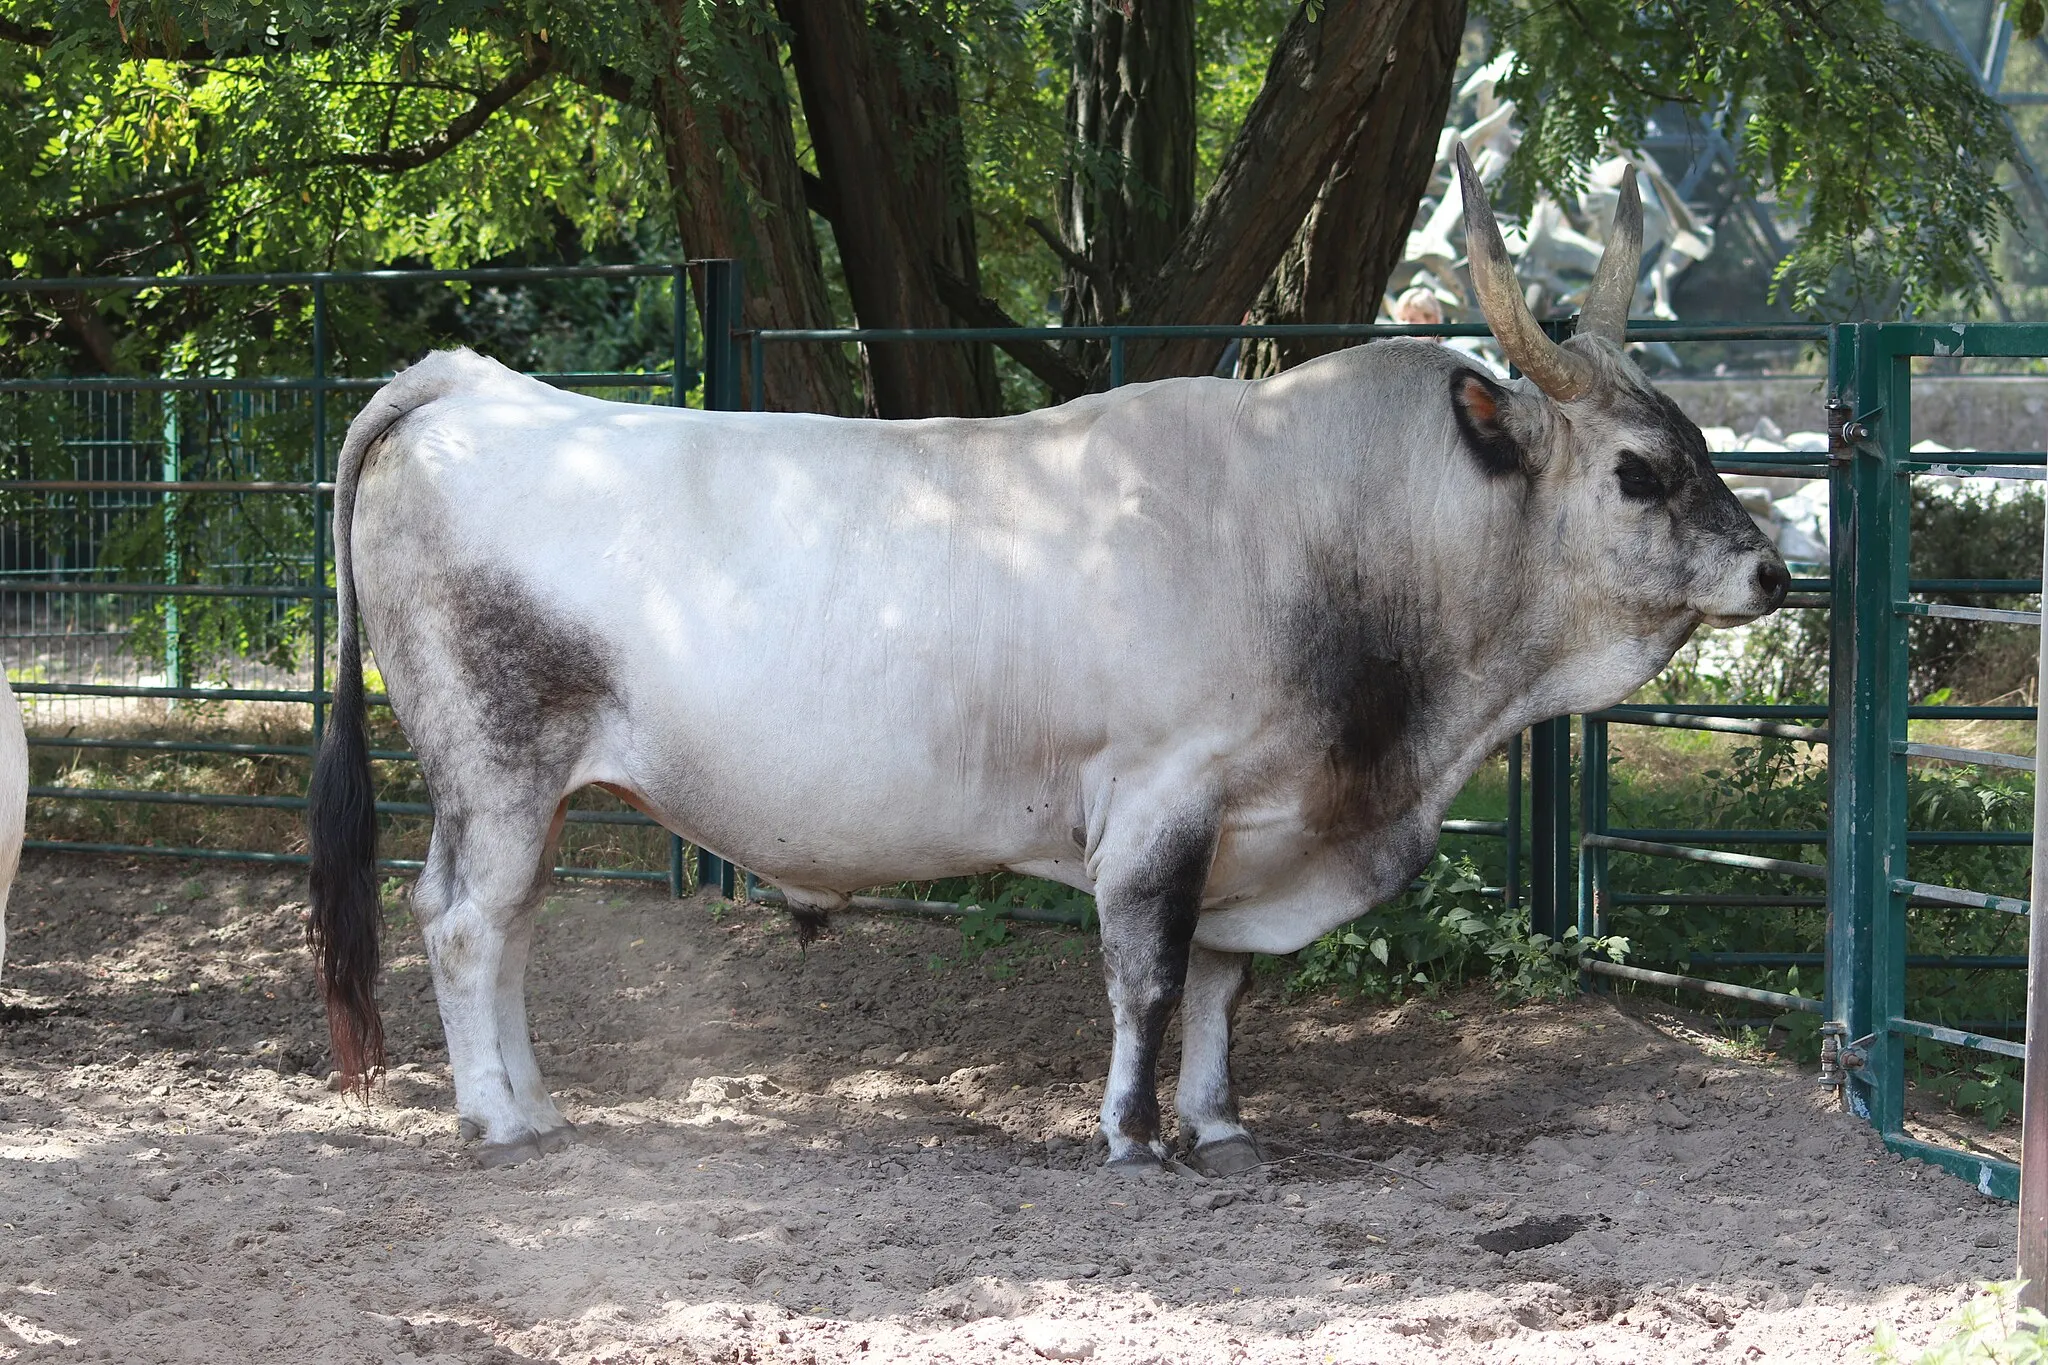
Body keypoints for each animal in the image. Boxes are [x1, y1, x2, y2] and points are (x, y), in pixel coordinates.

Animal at [296, 149, 1785, 1178]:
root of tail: (470, 383)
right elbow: (1148, 976)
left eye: (1696, 442)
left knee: (506, 923)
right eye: (1639, 471)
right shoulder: (1159, 801)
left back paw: (538, 1101)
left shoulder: (1251, 823)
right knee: (467, 922)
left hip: (525, 787)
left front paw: (1219, 1125)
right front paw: (1129, 1135)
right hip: (495, 761)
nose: (1770, 571)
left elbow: (1224, 985)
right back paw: (496, 1119)